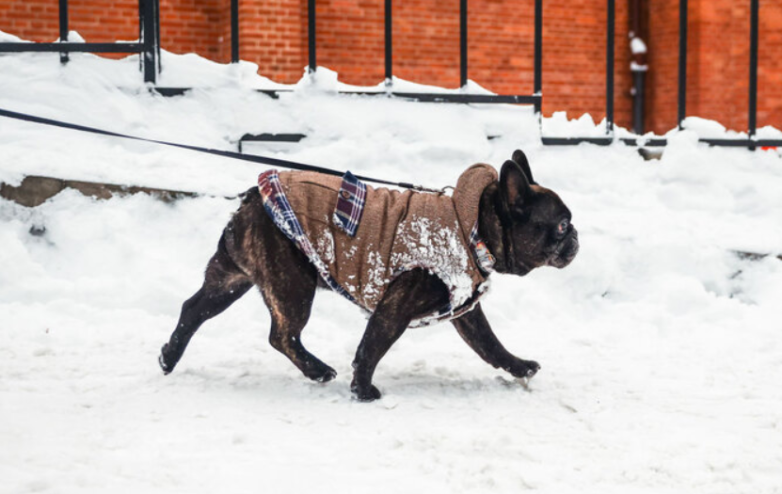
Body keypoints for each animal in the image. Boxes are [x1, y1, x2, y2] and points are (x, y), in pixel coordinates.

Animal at [159, 149, 580, 400]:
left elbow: (490, 344)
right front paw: (362, 390)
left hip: (231, 279)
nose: (576, 236)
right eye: (561, 225)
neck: (473, 226)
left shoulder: (465, 313)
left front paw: (519, 367)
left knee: (193, 309)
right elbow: (372, 347)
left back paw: (168, 357)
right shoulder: (395, 308)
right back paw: (317, 371)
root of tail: (252, 198)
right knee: (283, 335)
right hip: (292, 284)